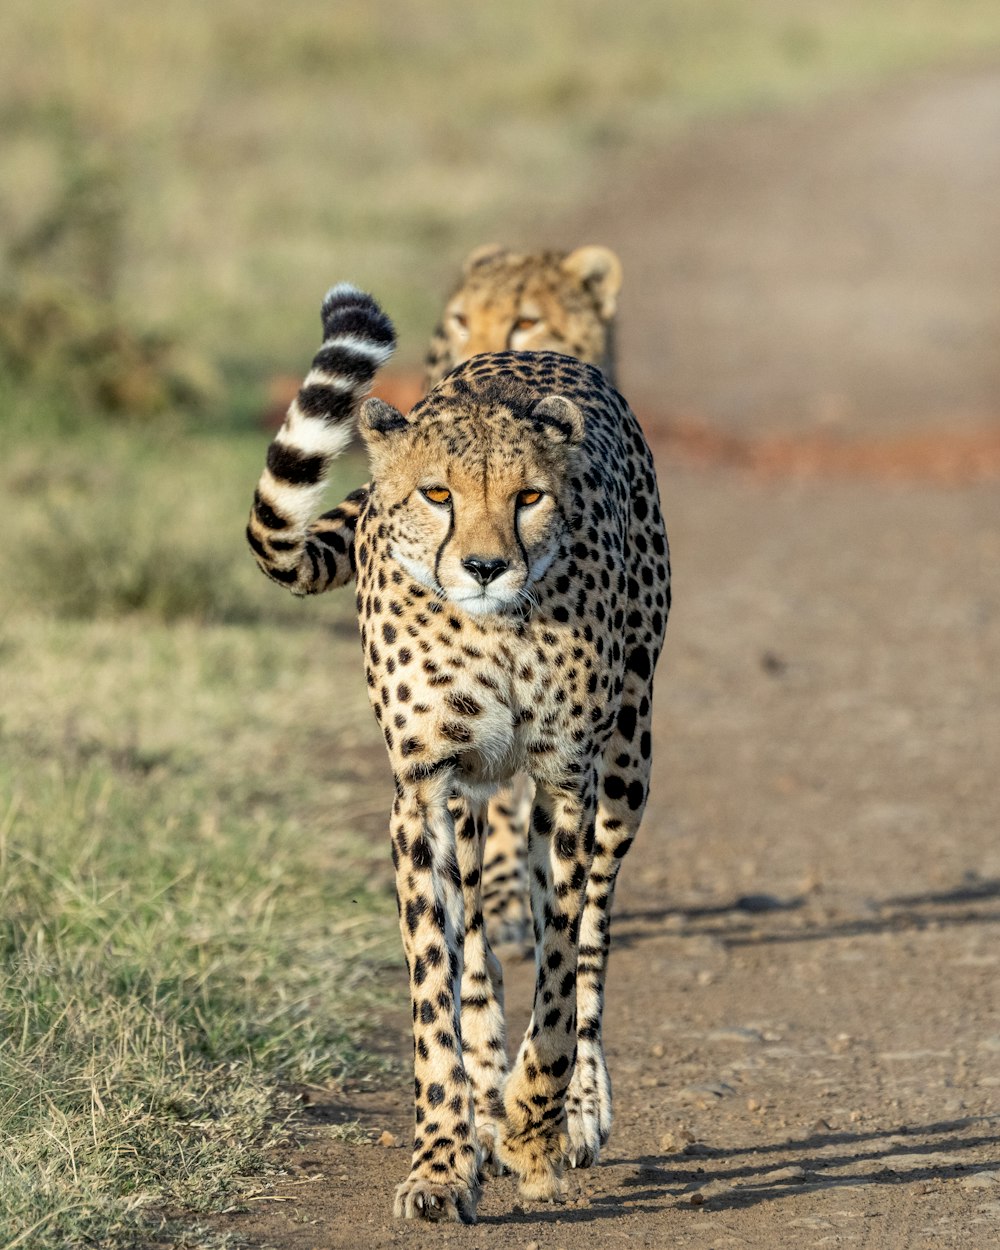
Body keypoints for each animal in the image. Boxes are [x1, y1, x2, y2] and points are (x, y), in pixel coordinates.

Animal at [246, 283, 670, 1220]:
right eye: (436, 493)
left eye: (528, 498)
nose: (483, 566)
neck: (494, 630)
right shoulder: (424, 790)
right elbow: (434, 989)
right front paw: (444, 1157)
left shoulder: (570, 780)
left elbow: (558, 975)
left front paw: (536, 1129)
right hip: (476, 801)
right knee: (476, 939)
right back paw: (482, 1098)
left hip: (625, 763)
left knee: (589, 934)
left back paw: (568, 1108)